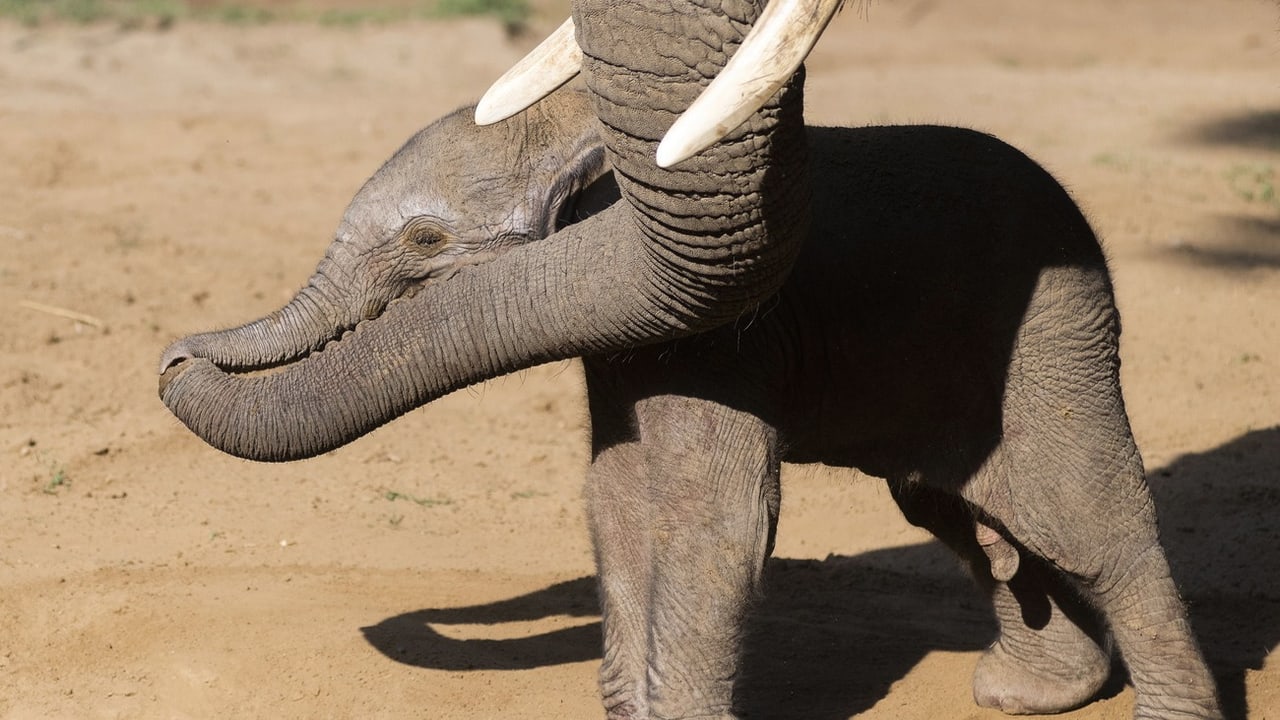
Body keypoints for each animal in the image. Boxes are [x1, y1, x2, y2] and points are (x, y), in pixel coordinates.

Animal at [160, 89, 1218, 717]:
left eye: (423, 242)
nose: (174, 353)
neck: (582, 128)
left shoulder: (729, 335)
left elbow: (716, 523)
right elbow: (616, 504)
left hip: (1052, 343)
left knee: (1086, 519)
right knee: (954, 509)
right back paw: (1027, 694)